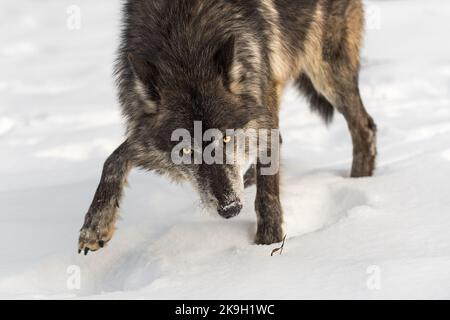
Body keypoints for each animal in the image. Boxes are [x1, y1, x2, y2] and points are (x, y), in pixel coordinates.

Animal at [78, 0, 376, 255]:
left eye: (224, 140)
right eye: (186, 151)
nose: (230, 208)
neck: (185, 44)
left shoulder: (262, 112)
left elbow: (267, 194)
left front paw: (266, 245)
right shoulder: (145, 134)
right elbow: (114, 158)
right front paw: (95, 226)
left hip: (326, 71)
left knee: (365, 127)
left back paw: (362, 181)